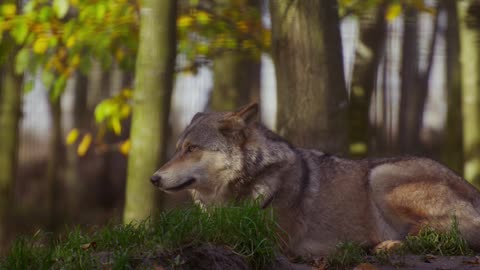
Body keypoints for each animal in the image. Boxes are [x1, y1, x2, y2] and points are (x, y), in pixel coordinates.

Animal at [150, 103, 480, 258]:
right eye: (178, 149)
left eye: (192, 149)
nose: (153, 178)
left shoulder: (266, 238)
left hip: (381, 176)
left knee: (441, 234)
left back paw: (383, 245)